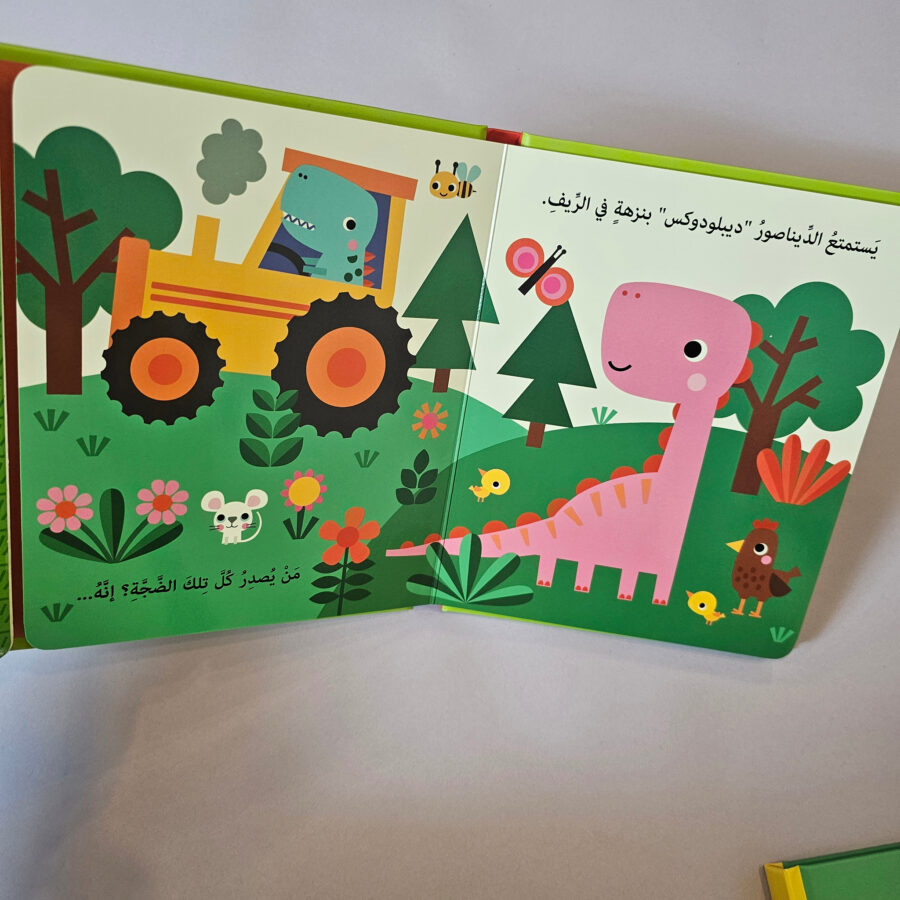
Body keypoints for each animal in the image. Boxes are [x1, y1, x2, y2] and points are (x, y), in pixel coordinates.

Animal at [387, 282, 753, 606]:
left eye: (694, 349)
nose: (628, 292)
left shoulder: (662, 563)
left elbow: (648, 581)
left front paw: (653, 602)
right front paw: (630, 598)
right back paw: (563, 585)